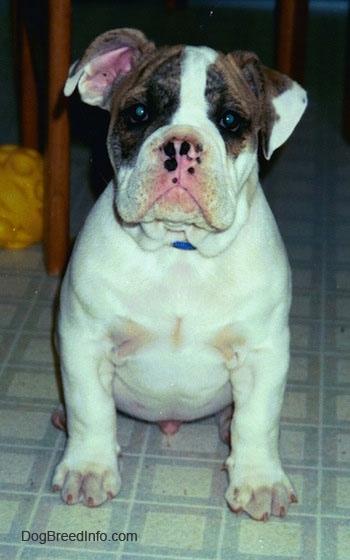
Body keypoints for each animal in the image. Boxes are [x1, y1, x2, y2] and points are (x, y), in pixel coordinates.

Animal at [52, 29, 306, 520]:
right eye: (138, 113)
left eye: (229, 120)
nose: (180, 144)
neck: (179, 249)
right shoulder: (84, 340)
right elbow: (91, 408)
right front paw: (89, 468)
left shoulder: (263, 352)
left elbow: (258, 420)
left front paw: (259, 480)